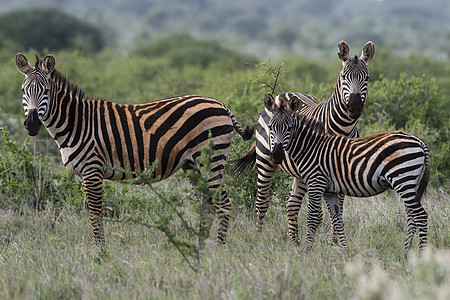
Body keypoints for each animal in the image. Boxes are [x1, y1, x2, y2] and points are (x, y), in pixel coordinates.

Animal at [14, 52, 253, 245]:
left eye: (45, 91)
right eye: (23, 91)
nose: (31, 124)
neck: (77, 123)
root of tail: (221, 105)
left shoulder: (92, 171)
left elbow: (95, 215)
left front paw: (101, 254)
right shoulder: (84, 174)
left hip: (210, 161)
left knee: (224, 204)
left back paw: (218, 250)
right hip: (192, 165)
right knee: (208, 206)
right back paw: (200, 247)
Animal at [234, 40, 374, 241]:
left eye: (367, 78)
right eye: (343, 77)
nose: (354, 107)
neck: (343, 129)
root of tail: (283, 94)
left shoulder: (341, 171)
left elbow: (337, 208)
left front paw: (335, 241)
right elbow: (323, 212)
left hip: (299, 173)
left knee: (291, 202)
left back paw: (295, 241)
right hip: (266, 160)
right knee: (262, 202)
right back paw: (258, 238)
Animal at [266, 95, 430, 250]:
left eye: (289, 128)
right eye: (270, 127)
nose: (276, 155)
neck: (310, 148)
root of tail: (419, 140)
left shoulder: (316, 183)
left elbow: (312, 218)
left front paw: (307, 250)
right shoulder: (329, 191)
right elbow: (337, 219)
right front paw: (344, 250)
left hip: (403, 178)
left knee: (421, 215)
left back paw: (421, 252)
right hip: (410, 182)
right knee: (411, 215)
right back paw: (407, 250)